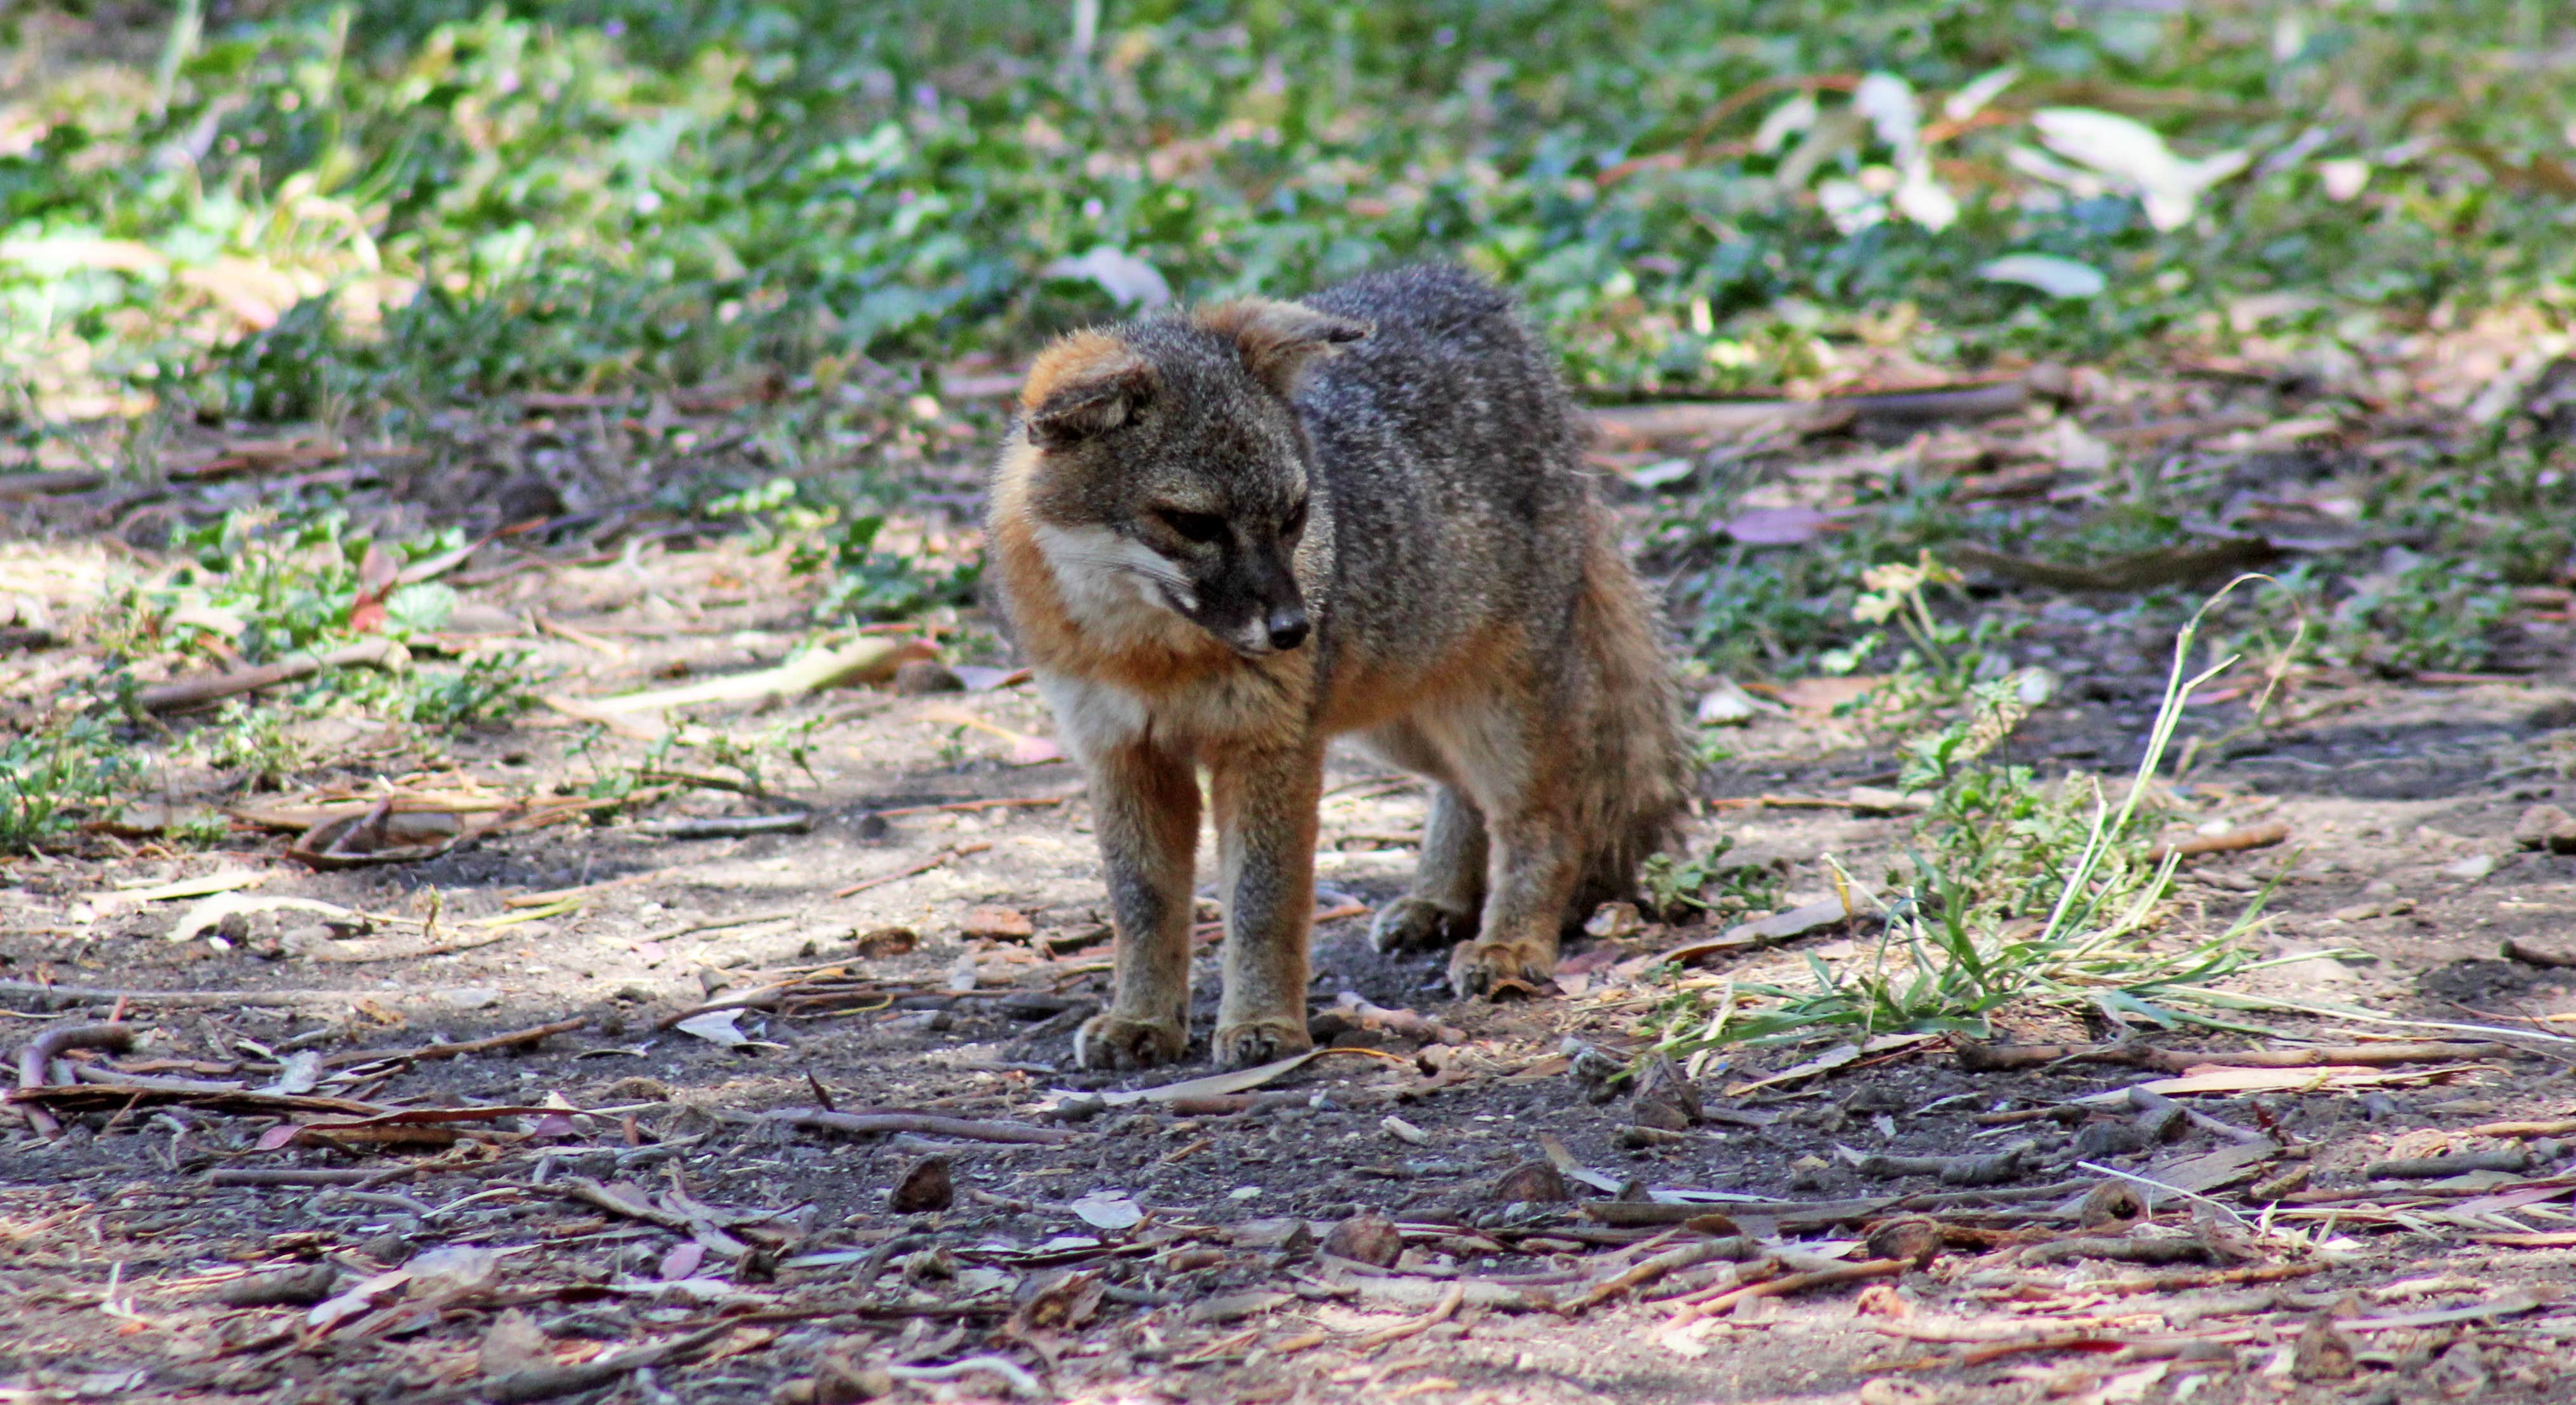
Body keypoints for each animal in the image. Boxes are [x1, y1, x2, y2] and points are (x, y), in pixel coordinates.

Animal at [986, 264, 1693, 1070]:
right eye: (1193, 523)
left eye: (1295, 514)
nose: (1295, 630)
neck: (1150, 656)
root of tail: (1469, 288)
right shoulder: (1122, 753)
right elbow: (1141, 907)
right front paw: (1140, 1019)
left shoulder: (1271, 749)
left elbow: (1262, 903)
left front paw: (1263, 1023)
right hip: (1396, 718)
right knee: (1464, 793)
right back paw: (1442, 901)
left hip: (1490, 714)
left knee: (1546, 818)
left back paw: (1510, 941)